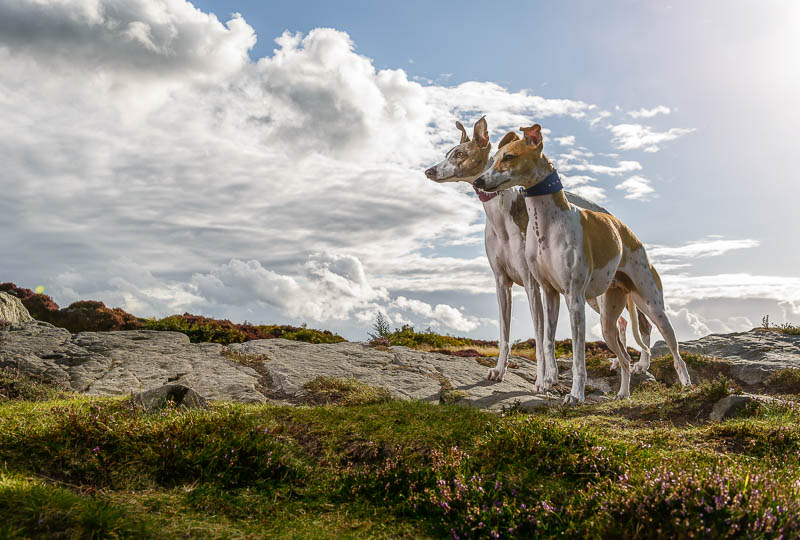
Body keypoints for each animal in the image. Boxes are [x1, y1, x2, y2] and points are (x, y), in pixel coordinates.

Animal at [424, 117, 648, 388]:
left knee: (642, 324)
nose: (428, 171)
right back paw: (618, 361)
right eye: (448, 153)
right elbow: (505, 334)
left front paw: (543, 377)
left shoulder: (533, 285)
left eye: (459, 154)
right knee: (622, 322)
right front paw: (500, 370)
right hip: (596, 294)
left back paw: (640, 364)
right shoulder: (502, 283)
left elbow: (541, 339)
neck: (500, 213)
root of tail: (610, 216)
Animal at [476, 122, 692, 400]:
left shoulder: (574, 298)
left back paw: (686, 384)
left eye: (509, 157)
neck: (547, 222)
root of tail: (629, 234)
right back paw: (623, 393)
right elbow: (547, 340)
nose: (479, 181)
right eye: (493, 159)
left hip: (652, 306)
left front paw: (576, 394)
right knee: (624, 358)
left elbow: (578, 356)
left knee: (675, 352)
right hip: (608, 321)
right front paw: (547, 381)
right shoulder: (549, 293)